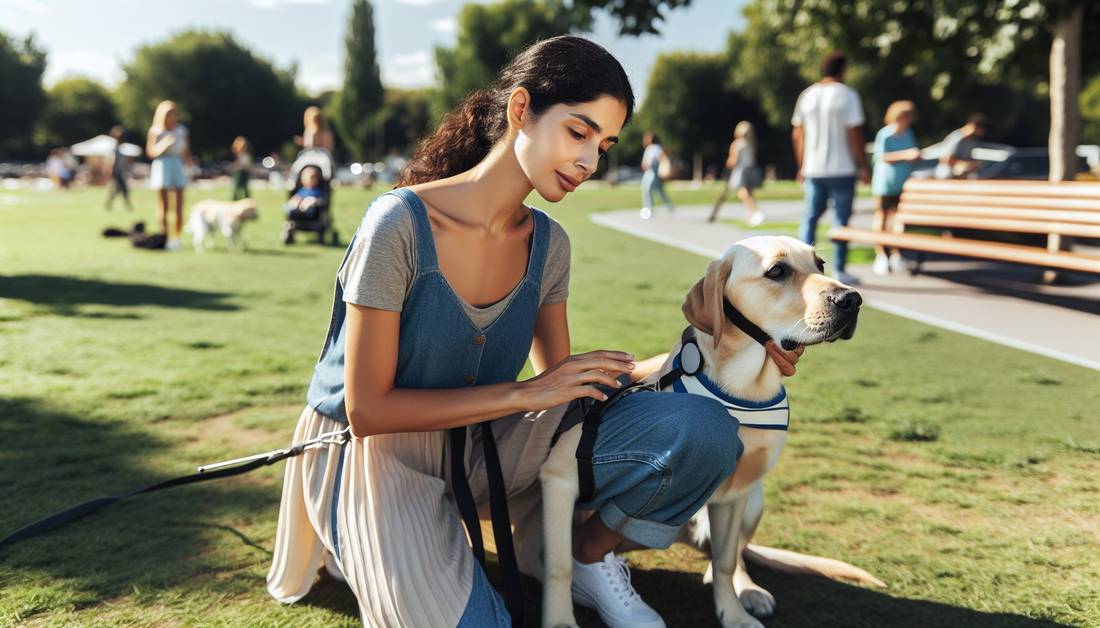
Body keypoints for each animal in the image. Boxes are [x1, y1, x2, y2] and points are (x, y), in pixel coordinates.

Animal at [536, 235, 880, 628]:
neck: (744, 390)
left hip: (754, 499)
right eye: (777, 271)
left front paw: (733, 613)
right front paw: (560, 621)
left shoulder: (735, 492)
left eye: (820, 264)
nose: (852, 300)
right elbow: (561, 565)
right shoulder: (561, 477)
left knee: (732, 556)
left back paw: (748, 590)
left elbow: (726, 560)